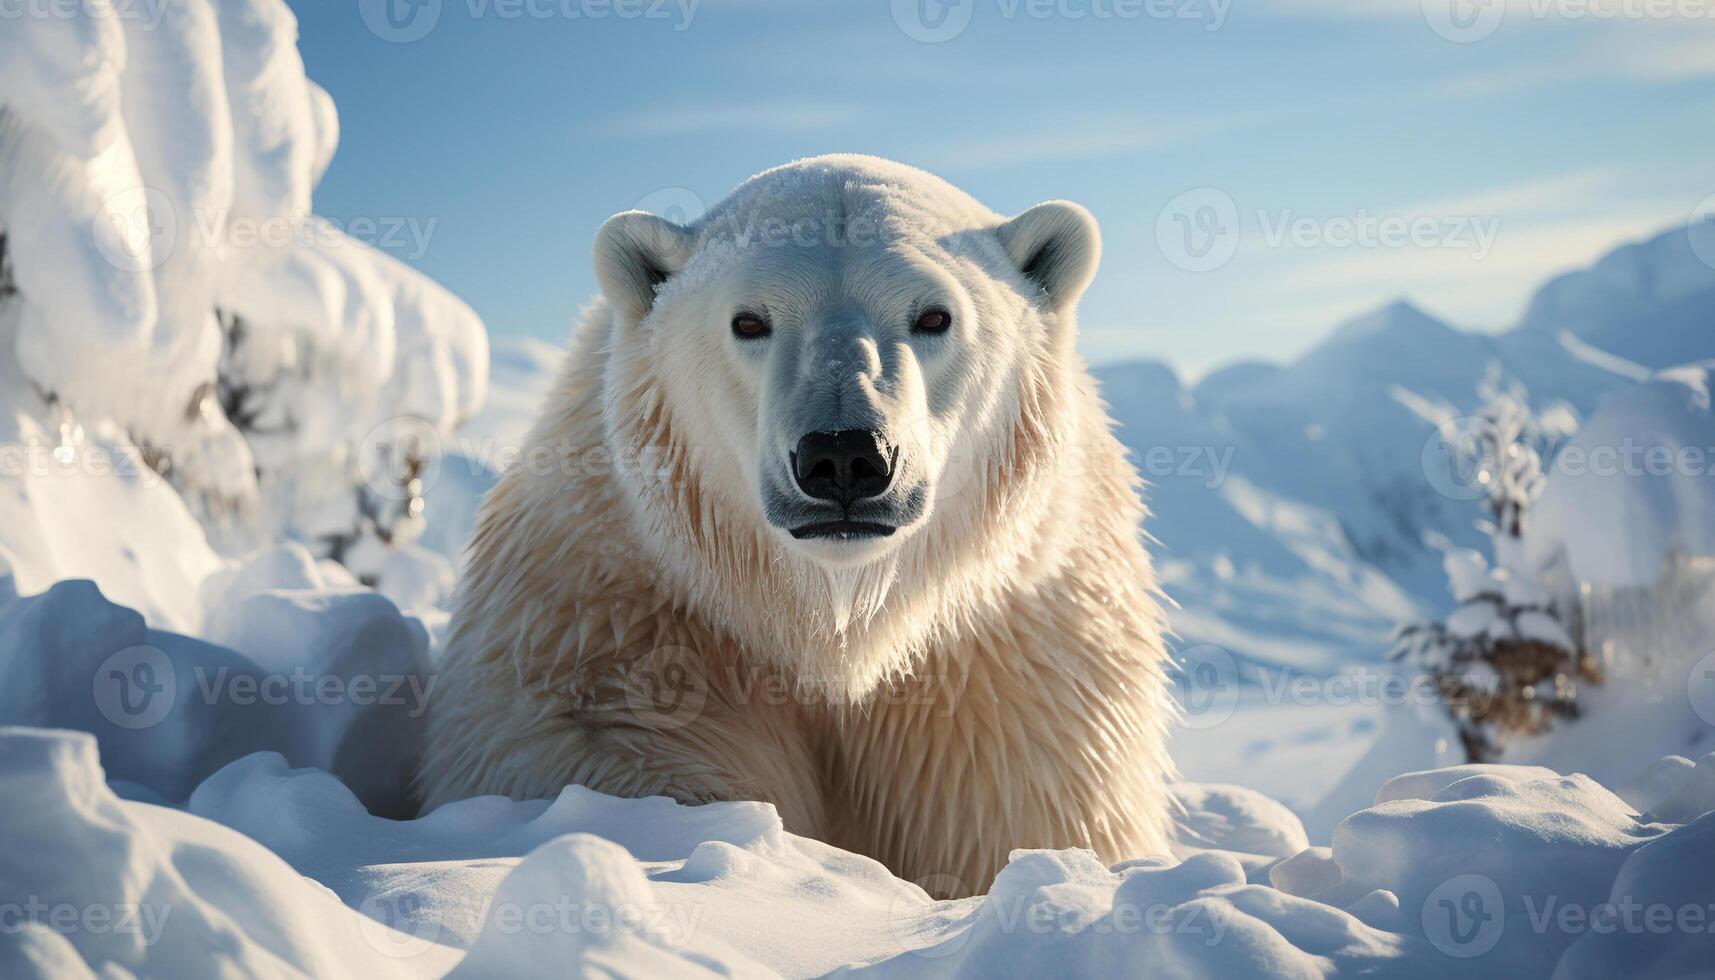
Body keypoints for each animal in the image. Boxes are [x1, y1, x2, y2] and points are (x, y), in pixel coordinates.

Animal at [418, 155, 1179, 899]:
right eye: (749, 321)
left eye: (935, 316)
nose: (843, 456)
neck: (829, 624)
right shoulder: (617, 628)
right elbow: (615, 755)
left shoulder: (1010, 661)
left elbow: (1012, 813)